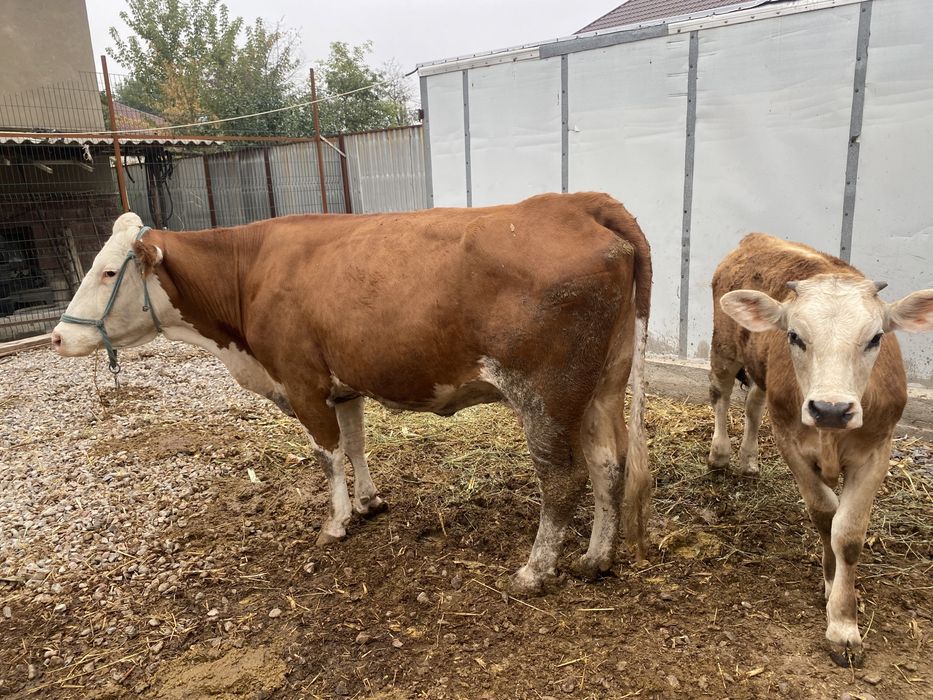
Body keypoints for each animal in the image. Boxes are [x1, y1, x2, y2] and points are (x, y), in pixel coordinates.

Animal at [51, 192, 653, 594]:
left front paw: (335, 522)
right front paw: (368, 502)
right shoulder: (344, 385)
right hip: (603, 386)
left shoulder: (302, 381)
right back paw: (595, 560)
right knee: (607, 464)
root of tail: (574, 203)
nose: (58, 336)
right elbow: (356, 444)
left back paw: (534, 571)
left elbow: (327, 453)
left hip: (546, 395)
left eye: (109, 272)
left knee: (562, 480)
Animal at [707, 233, 933, 666]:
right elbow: (825, 513)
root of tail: (756, 238)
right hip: (724, 346)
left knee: (753, 402)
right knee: (721, 393)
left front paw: (842, 619)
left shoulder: (876, 453)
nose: (830, 408)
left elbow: (848, 533)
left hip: (760, 372)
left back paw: (748, 460)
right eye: (795, 335)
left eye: (875, 337)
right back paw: (721, 454)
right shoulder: (790, 442)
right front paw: (833, 593)